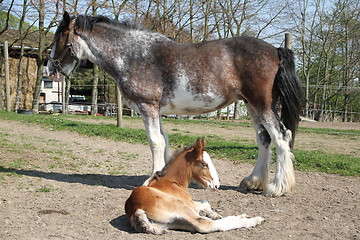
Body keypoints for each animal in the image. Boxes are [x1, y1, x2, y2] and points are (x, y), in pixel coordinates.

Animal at [47, 11, 300, 197]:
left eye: (60, 38)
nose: (50, 69)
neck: (134, 55)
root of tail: (275, 50)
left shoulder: (147, 107)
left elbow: (155, 142)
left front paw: (151, 180)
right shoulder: (156, 111)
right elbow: (164, 141)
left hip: (263, 105)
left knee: (280, 137)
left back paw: (276, 187)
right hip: (251, 106)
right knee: (264, 139)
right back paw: (253, 181)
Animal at [124, 138, 264, 233]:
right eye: (204, 164)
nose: (216, 185)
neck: (172, 182)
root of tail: (135, 209)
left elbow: (204, 202)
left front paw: (213, 213)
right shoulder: (190, 204)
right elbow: (205, 202)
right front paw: (213, 213)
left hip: (173, 222)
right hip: (182, 207)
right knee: (205, 224)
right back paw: (253, 220)